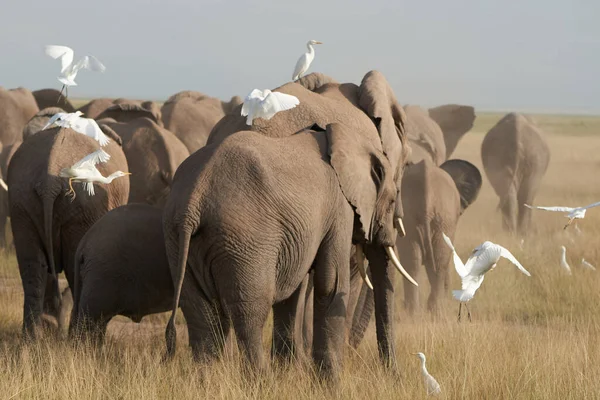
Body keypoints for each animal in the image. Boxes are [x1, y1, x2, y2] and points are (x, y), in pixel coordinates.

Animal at [8, 126, 131, 338]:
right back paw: (76, 337)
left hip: (21, 201)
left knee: (33, 266)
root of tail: (48, 183)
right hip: (83, 209)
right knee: (75, 268)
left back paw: (33, 338)